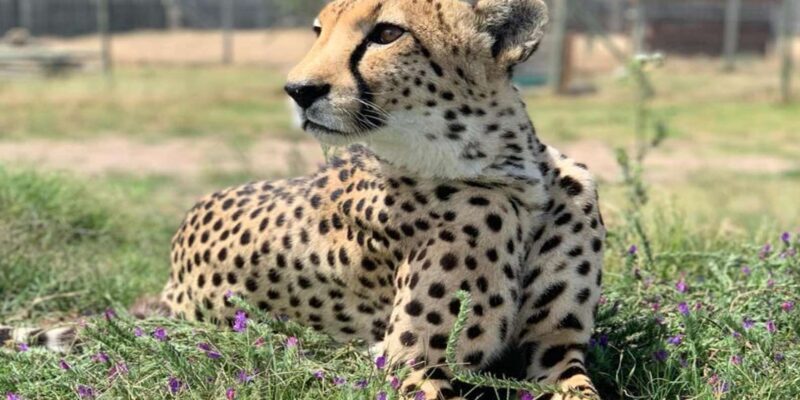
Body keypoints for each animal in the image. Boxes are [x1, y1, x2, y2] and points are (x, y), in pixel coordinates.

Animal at [2, 1, 605, 399]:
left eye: (387, 33)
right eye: (319, 29)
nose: (298, 90)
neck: (512, 176)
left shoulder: (555, 350)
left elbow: (581, 388)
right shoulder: (409, 364)